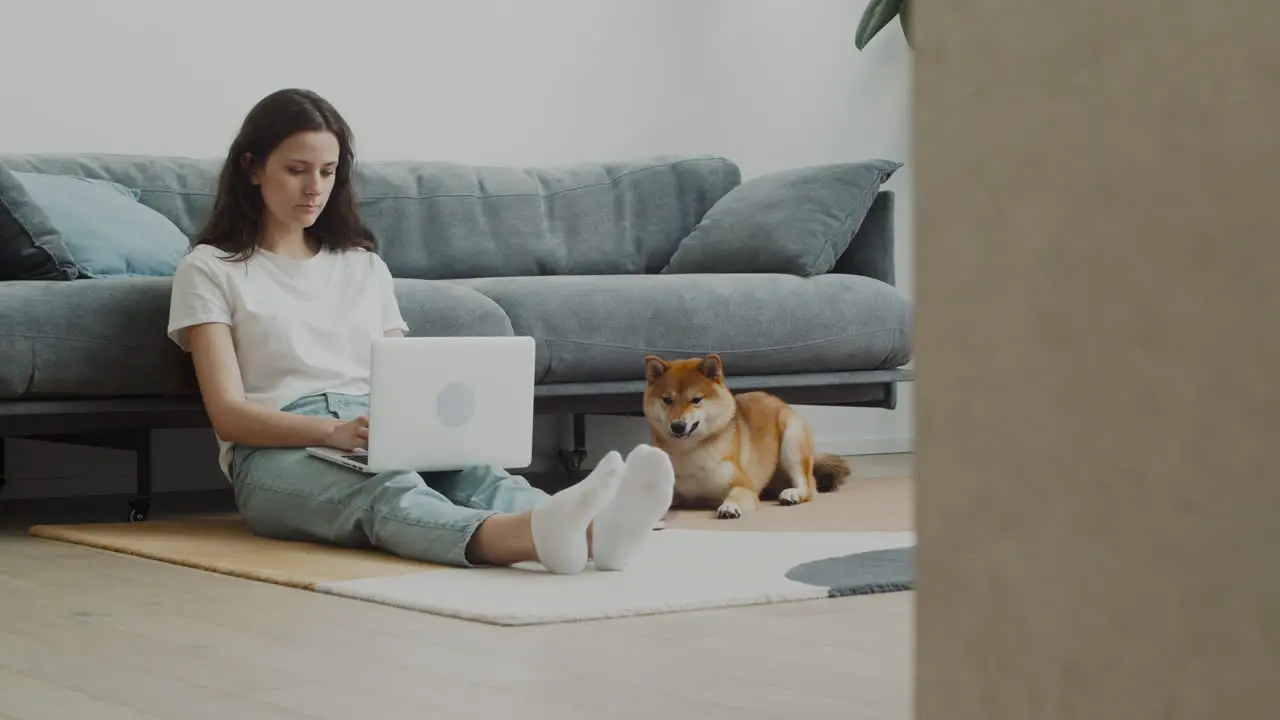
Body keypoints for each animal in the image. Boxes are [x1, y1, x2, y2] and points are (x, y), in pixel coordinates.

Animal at [640, 351, 849, 515]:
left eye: (696, 400)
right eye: (667, 400)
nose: (678, 426)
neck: (688, 452)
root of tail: (780, 403)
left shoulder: (743, 485)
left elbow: (736, 494)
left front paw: (729, 507)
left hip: (791, 441)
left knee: (807, 486)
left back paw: (792, 494)